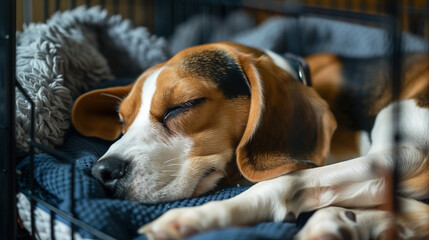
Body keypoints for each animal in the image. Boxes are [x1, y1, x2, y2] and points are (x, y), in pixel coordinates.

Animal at [72, 42, 428, 239]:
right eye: (122, 120)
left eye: (183, 105)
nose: (103, 172)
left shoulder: (408, 154)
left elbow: (283, 182)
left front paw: (202, 216)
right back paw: (336, 224)